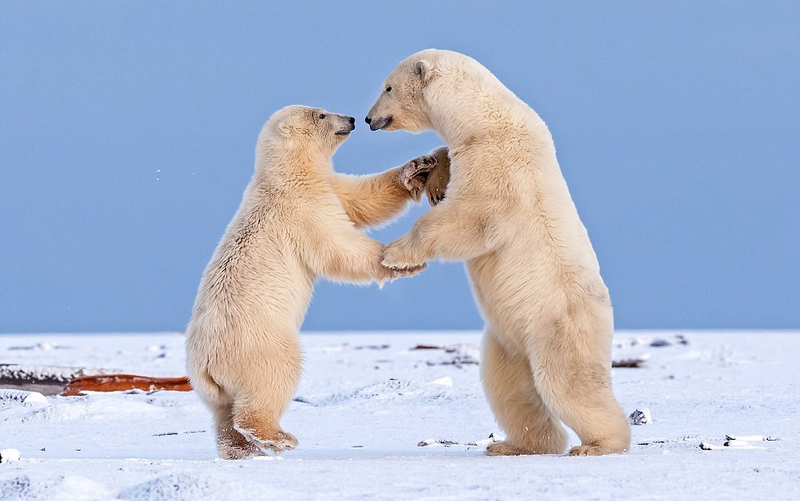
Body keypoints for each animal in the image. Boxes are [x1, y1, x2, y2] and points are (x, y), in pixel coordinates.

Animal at [186, 104, 438, 458]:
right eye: (320, 114)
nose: (352, 119)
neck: (286, 174)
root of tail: (205, 365)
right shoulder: (301, 210)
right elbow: (338, 247)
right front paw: (401, 259)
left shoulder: (328, 186)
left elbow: (362, 199)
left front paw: (417, 167)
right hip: (260, 343)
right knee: (273, 379)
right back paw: (279, 437)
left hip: (212, 390)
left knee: (223, 416)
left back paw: (243, 451)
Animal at [364, 48, 632, 456]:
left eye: (388, 87)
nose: (368, 119)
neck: (483, 119)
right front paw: (428, 174)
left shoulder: (497, 166)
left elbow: (467, 219)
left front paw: (395, 254)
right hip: (506, 340)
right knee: (511, 388)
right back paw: (516, 445)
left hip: (558, 326)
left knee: (569, 384)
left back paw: (598, 444)